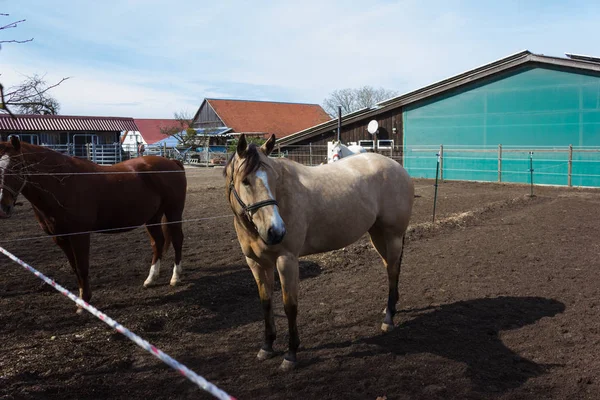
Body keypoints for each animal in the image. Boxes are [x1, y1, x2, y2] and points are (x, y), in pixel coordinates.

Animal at [0, 136, 188, 310]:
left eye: (15, 166)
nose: (3, 206)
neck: (62, 183)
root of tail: (172, 162)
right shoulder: (60, 237)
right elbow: (74, 267)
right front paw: (81, 298)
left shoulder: (79, 235)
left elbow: (82, 267)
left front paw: (84, 302)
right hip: (152, 217)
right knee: (158, 243)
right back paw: (151, 279)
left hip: (173, 212)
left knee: (177, 240)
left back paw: (175, 277)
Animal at [223, 135, 414, 372]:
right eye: (246, 181)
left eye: (274, 179)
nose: (276, 231)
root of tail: (399, 169)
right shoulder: (256, 263)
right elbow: (266, 303)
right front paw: (266, 346)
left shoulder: (287, 260)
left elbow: (290, 306)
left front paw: (291, 355)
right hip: (377, 234)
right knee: (390, 267)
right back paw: (390, 308)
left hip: (392, 236)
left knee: (393, 272)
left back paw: (388, 319)